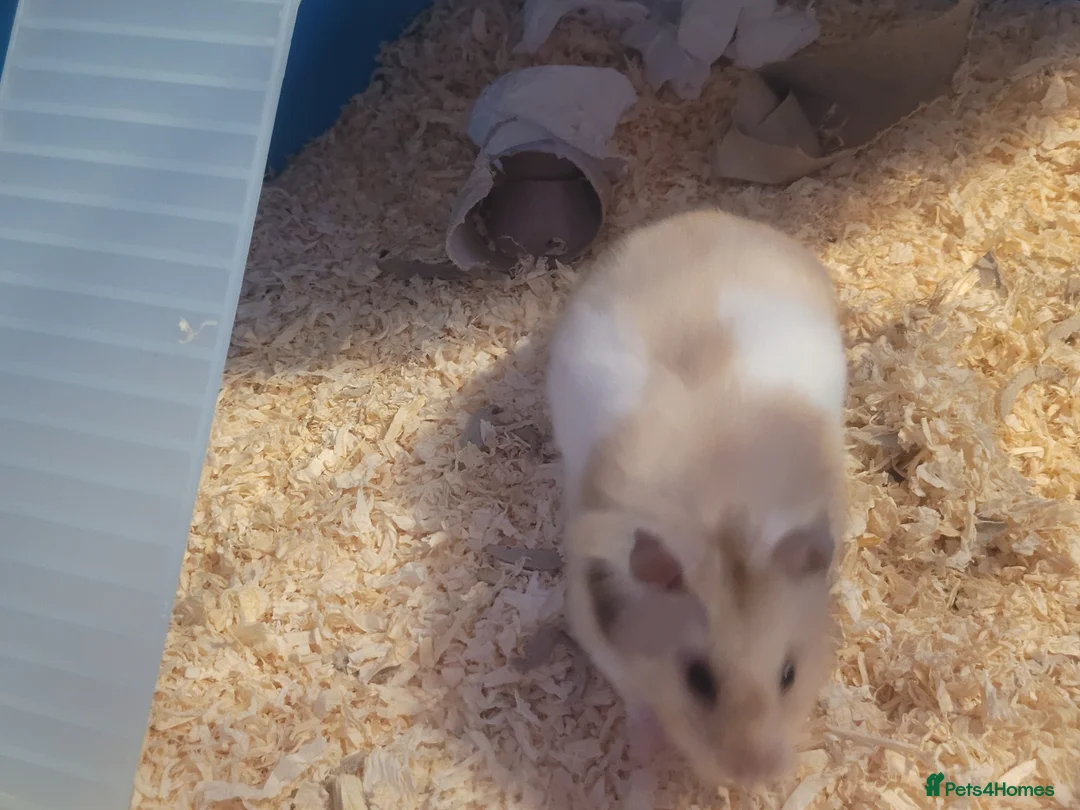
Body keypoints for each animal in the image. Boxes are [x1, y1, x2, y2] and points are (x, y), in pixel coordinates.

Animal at [546, 208, 847, 787]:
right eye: (697, 680)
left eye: (789, 673)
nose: (755, 776)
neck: (726, 526)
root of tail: (704, 214)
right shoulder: (593, 623)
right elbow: (636, 696)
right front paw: (649, 755)